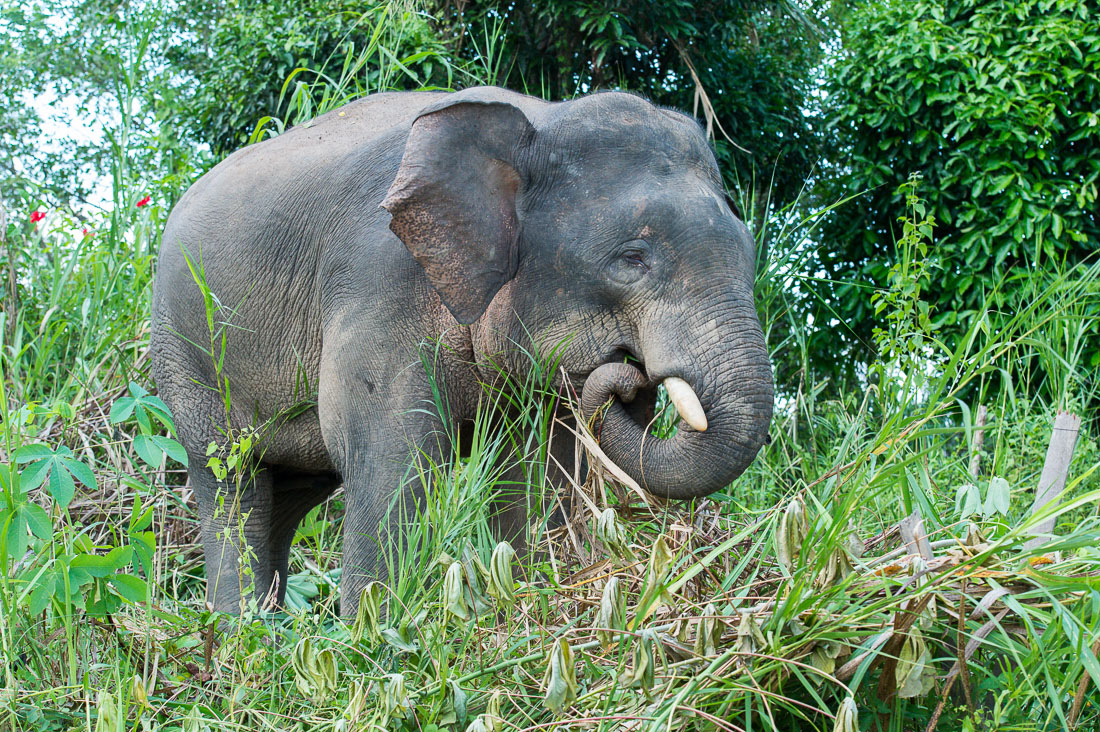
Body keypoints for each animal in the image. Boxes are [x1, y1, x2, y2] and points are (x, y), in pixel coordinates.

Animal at [150, 82, 774, 612]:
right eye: (632, 259)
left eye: (749, 252)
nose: (631, 376)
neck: (539, 119)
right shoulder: (377, 283)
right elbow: (393, 456)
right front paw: (372, 641)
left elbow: (535, 466)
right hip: (184, 352)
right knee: (230, 481)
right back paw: (245, 636)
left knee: (289, 492)